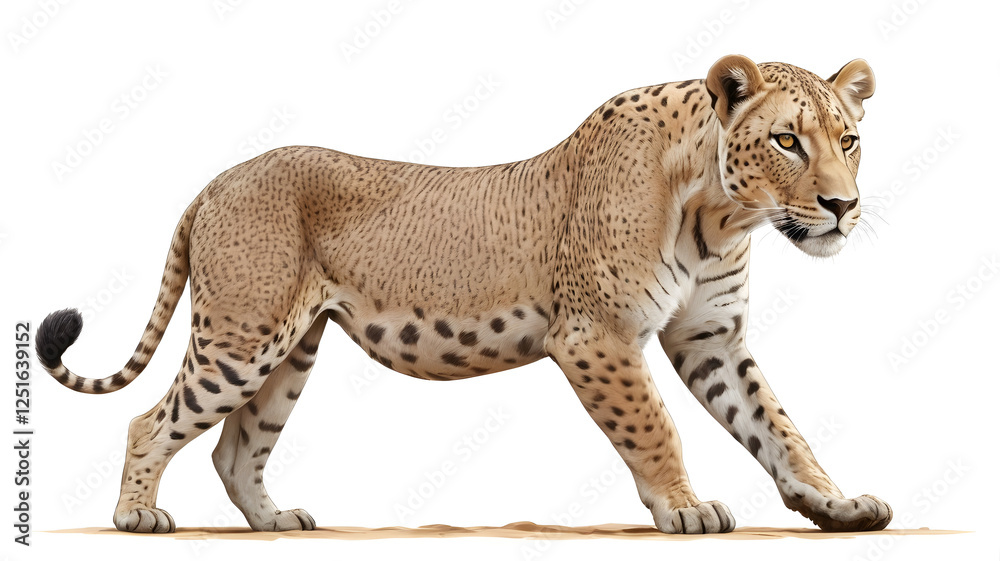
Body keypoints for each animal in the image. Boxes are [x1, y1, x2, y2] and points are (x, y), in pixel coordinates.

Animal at [36, 54, 891, 534]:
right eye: (787, 140)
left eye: (849, 139)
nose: (843, 206)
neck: (720, 211)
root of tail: (216, 179)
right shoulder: (595, 334)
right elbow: (655, 427)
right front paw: (685, 507)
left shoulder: (709, 336)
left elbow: (779, 427)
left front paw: (836, 506)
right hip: (243, 335)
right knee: (150, 421)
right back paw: (136, 515)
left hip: (291, 347)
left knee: (234, 447)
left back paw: (274, 521)